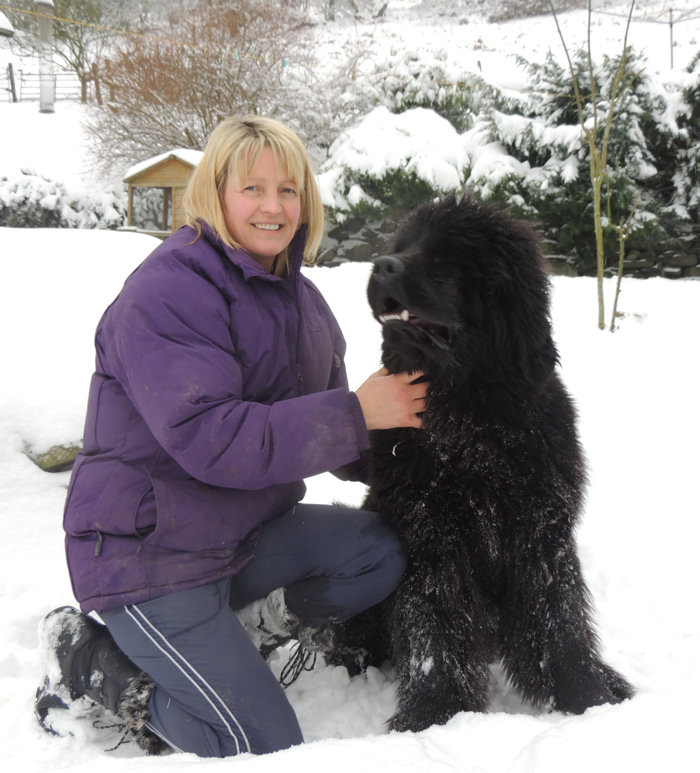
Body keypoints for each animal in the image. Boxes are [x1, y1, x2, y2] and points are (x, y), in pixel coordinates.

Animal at [328, 196, 636, 732]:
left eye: (444, 262)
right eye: (402, 247)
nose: (383, 265)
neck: (470, 424)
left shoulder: (540, 531)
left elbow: (559, 623)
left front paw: (587, 696)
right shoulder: (431, 536)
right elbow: (434, 629)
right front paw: (434, 713)